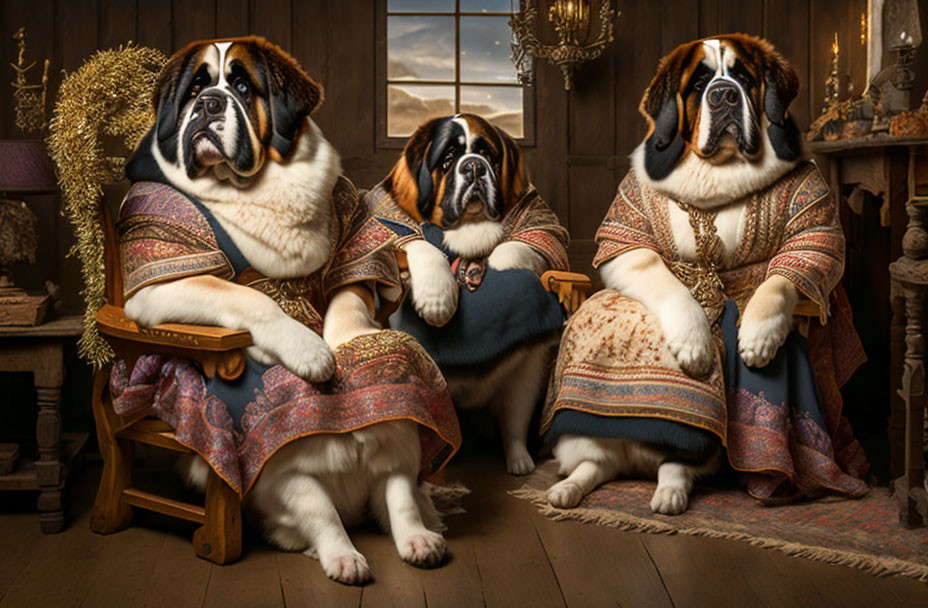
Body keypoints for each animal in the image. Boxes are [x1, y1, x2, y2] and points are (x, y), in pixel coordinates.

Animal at [124, 36, 450, 584]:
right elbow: (243, 293)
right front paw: (309, 351)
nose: (208, 103)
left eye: (241, 87)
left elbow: (353, 285)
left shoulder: (350, 226)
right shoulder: (156, 274)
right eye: (194, 89)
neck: (252, 187)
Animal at [378, 114, 564, 476]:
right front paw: (437, 299)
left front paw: (498, 261)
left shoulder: (539, 218)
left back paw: (519, 457)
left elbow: (527, 241)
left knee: (515, 414)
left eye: (488, 155)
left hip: (524, 377)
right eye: (448, 159)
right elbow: (414, 241)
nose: (474, 166)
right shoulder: (388, 216)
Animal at [548, 34, 808, 512]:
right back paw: (567, 489)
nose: (724, 94)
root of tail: (634, 461)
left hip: (689, 456)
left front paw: (759, 338)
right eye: (700, 83)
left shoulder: (814, 226)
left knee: (677, 465)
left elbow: (782, 279)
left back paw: (668, 493)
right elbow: (665, 280)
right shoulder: (626, 242)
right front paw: (694, 344)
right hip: (584, 445)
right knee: (593, 463)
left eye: (744, 77)